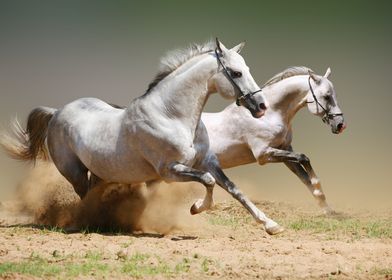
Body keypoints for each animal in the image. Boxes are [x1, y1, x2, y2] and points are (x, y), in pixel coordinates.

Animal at [1, 40, 286, 234]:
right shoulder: (169, 171)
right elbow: (208, 181)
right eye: (236, 73)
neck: (171, 116)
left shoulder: (208, 162)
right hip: (74, 172)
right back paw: (91, 222)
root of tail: (57, 112)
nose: (261, 106)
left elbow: (234, 189)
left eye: (246, 68)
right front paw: (196, 208)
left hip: (101, 173)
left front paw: (271, 225)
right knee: (84, 198)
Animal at [201, 66, 344, 214]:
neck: (269, 115)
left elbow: (304, 176)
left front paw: (327, 209)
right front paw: (318, 187)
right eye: (326, 96)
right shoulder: (263, 154)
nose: (340, 124)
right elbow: (304, 158)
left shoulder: (285, 150)